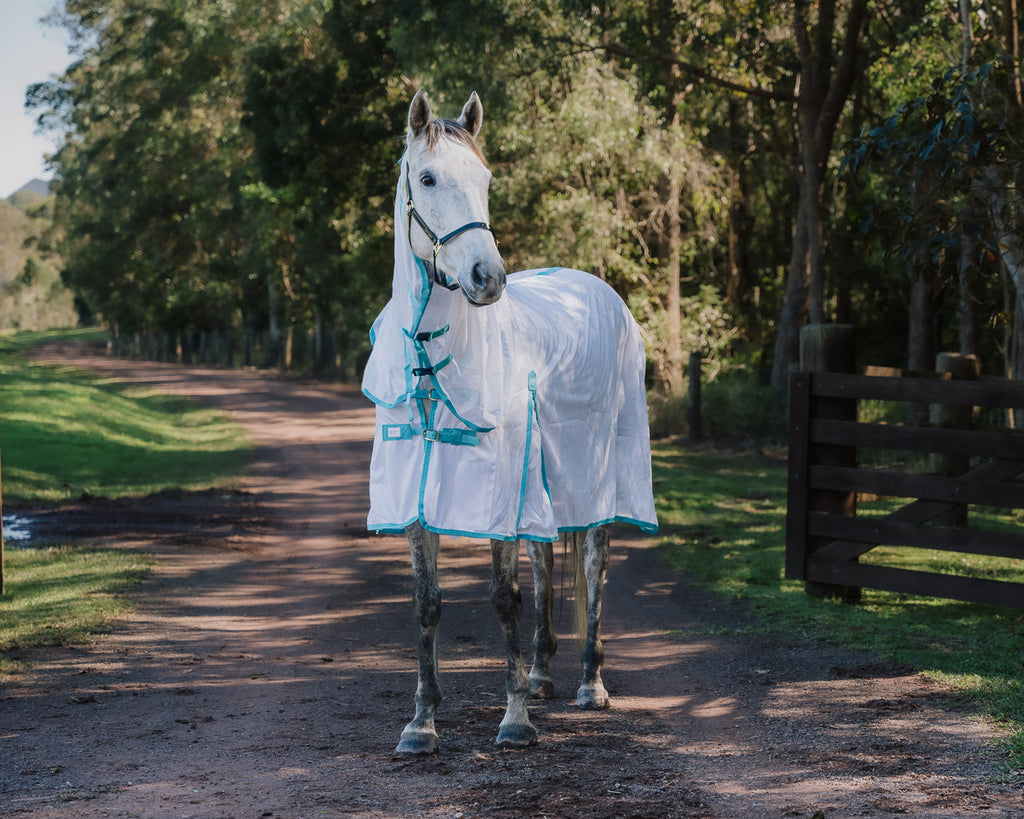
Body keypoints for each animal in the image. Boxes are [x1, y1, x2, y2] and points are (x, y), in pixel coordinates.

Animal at [361, 90, 658, 754]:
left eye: (486, 179)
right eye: (427, 178)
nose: (487, 278)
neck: (434, 357)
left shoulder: (498, 491)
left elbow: (504, 598)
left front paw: (515, 719)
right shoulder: (416, 495)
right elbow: (427, 603)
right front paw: (421, 723)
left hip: (596, 474)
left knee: (593, 561)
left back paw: (588, 684)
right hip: (542, 477)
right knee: (547, 559)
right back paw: (543, 674)